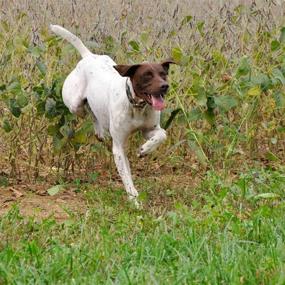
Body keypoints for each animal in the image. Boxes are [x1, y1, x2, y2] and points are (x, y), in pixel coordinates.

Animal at [50, 24, 174, 205]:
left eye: (163, 74)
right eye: (147, 75)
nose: (165, 86)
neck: (136, 106)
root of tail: (89, 56)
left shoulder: (149, 130)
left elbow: (162, 135)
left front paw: (145, 149)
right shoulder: (119, 147)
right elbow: (127, 178)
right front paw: (134, 201)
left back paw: (101, 133)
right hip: (74, 105)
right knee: (88, 110)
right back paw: (99, 130)